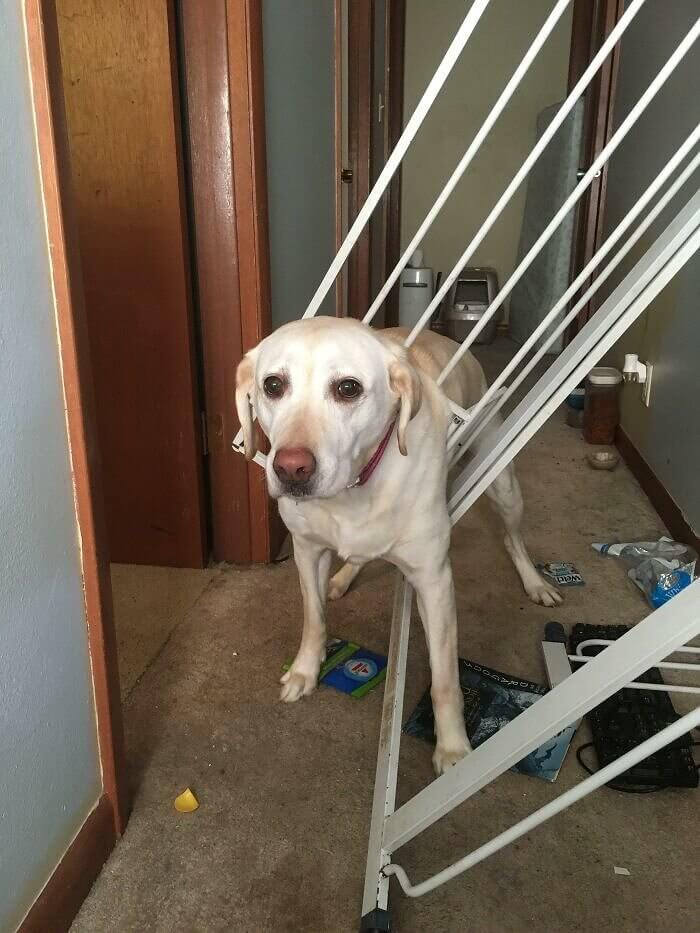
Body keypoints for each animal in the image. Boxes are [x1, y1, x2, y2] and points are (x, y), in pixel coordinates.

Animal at [238, 316, 560, 768]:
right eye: (272, 385)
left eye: (348, 388)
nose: (290, 469)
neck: (356, 487)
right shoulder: (307, 552)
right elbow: (314, 619)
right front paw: (304, 671)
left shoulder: (434, 582)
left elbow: (445, 678)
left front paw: (453, 748)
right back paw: (343, 578)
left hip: (506, 490)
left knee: (513, 539)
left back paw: (535, 583)